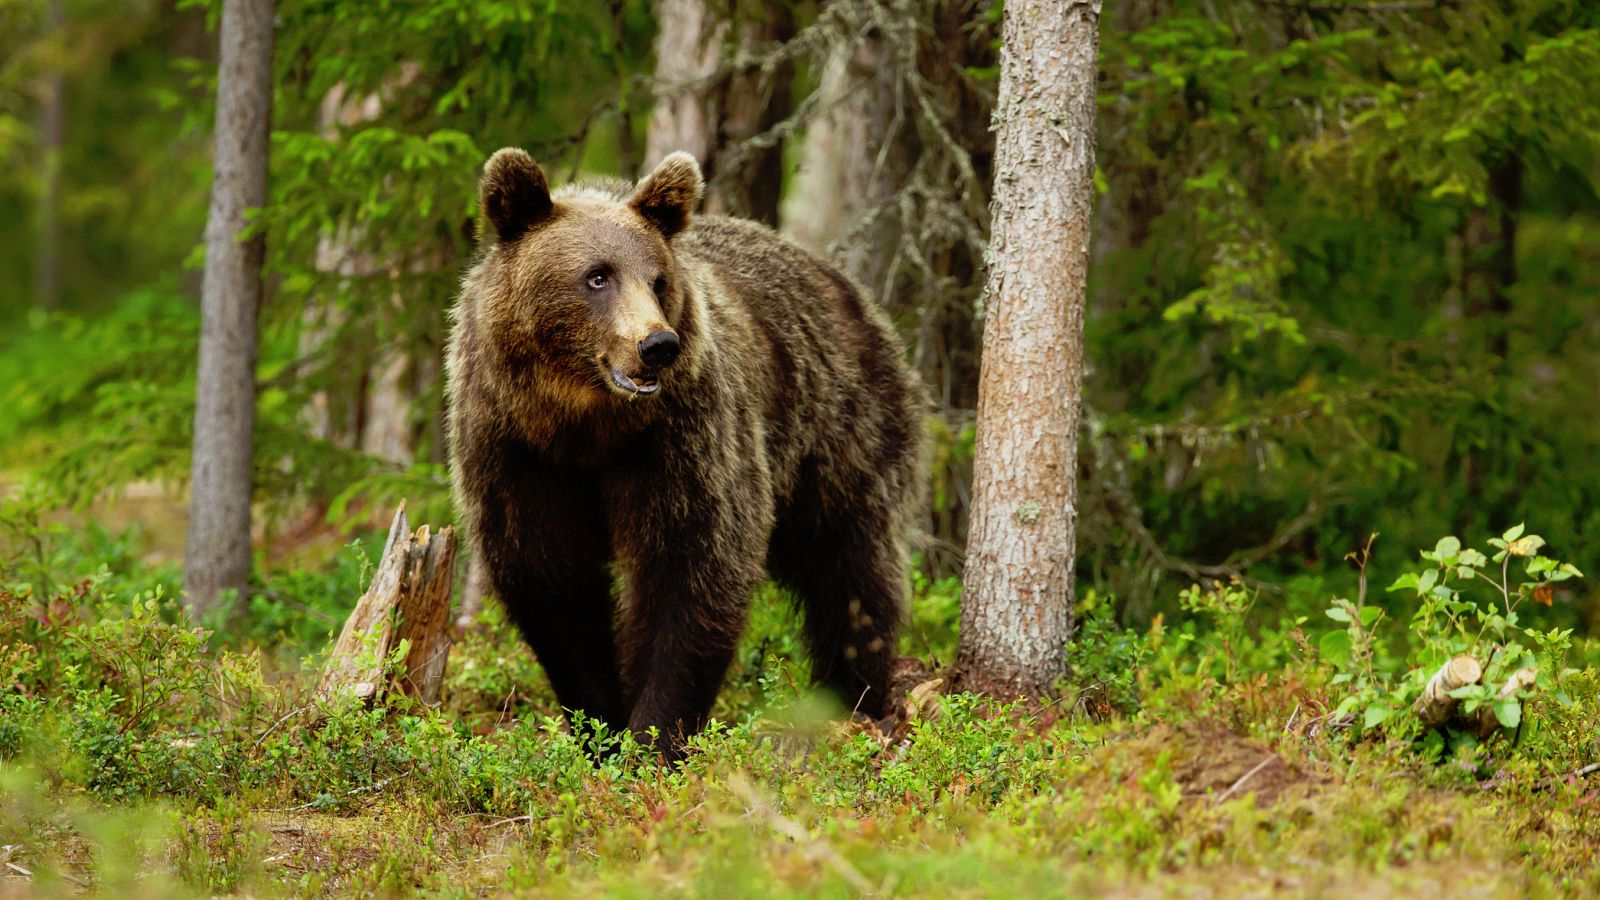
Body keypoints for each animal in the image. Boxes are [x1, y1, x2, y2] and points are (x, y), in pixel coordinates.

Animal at [446, 147, 924, 758]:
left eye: (658, 279)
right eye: (596, 276)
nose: (657, 345)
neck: (585, 422)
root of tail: (845, 286)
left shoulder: (681, 441)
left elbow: (693, 566)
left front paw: (655, 735)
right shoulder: (516, 449)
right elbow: (551, 580)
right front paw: (600, 725)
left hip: (841, 429)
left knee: (852, 569)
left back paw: (853, 696)